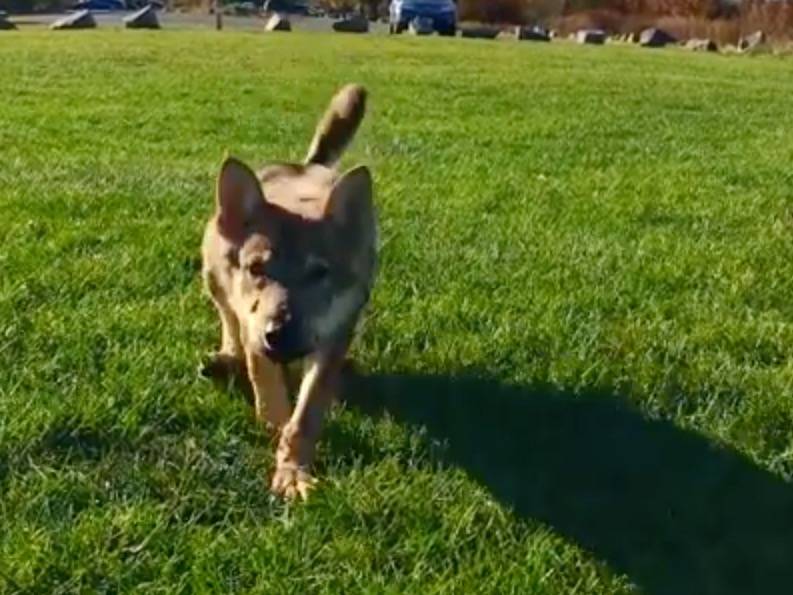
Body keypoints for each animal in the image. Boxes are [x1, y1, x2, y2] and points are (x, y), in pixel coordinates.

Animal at [203, 84, 378, 500]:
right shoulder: (254, 327)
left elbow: (306, 416)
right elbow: (267, 391)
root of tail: (306, 166)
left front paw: (292, 472)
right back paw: (225, 358)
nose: (278, 334)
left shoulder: (334, 337)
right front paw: (274, 430)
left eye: (319, 273)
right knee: (228, 322)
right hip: (211, 274)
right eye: (256, 269)